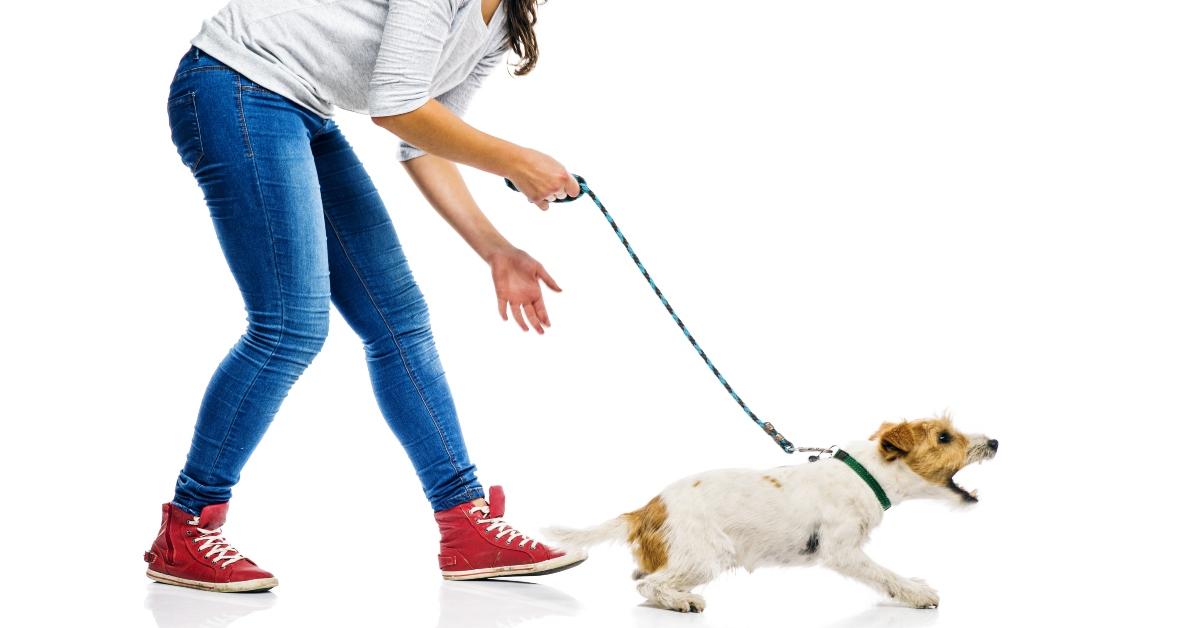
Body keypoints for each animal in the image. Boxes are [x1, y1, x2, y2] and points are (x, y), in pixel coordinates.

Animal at [544, 415, 993, 612]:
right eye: (944, 437)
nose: (995, 442)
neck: (866, 474)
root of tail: (646, 509)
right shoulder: (843, 551)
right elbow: (884, 573)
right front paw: (917, 593)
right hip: (708, 556)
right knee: (649, 586)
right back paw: (682, 601)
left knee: (641, 578)